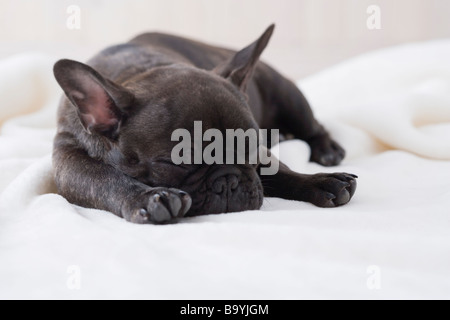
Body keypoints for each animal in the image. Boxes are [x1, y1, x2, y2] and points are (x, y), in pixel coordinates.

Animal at [51, 25, 356, 224]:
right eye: (176, 163)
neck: (142, 69)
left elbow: (281, 170)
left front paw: (320, 182)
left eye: (252, 152)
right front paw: (148, 197)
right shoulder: (69, 162)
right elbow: (104, 180)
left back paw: (326, 149)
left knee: (313, 126)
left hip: (287, 95)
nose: (229, 180)